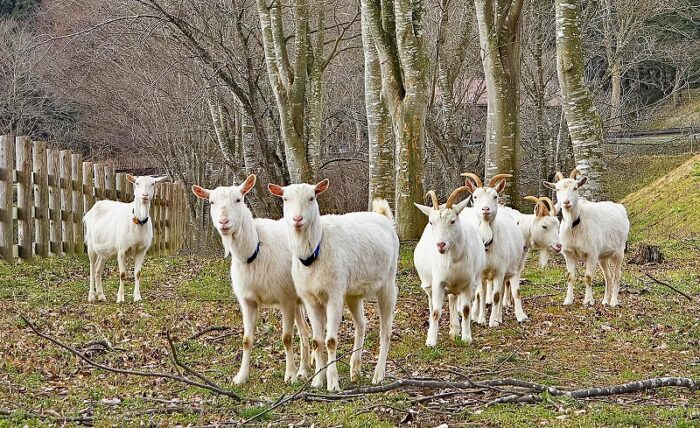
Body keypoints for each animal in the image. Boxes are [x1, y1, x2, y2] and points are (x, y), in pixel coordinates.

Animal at [191, 174, 312, 384]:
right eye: (212, 202)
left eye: (238, 199)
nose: (223, 222)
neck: (255, 249)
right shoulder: (247, 300)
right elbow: (246, 340)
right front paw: (241, 376)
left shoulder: (285, 299)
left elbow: (287, 337)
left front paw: (289, 374)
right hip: (298, 299)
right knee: (304, 330)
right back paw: (304, 370)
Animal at [268, 181, 400, 392]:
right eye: (285, 198)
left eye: (312, 197)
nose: (297, 219)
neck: (314, 253)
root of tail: (383, 217)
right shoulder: (310, 298)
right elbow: (317, 341)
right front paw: (317, 381)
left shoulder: (334, 295)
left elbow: (330, 341)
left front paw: (333, 383)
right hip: (353, 292)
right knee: (361, 323)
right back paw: (355, 370)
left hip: (388, 282)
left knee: (385, 330)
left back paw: (378, 375)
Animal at [412, 188, 484, 348]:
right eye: (431, 222)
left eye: (453, 221)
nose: (440, 245)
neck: (454, 259)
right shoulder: (438, 282)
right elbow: (436, 312)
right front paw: (431, 341)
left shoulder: (468, 284)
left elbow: (466, 310)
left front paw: (466, 337)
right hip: (429, 284)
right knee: (432, 303)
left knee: (452, 300)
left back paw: (454, 330)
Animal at [460, 172, 524, 326]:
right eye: (475, 196)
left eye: (495, 196)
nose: (485, 209)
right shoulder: (480, 274)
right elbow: (481, 295)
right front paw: (481, 319)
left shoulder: (500, 271)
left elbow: (495, 296)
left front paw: (493, 322)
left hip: (511, 269)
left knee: (506, 292)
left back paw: (507, 317)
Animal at [540, 169, 628, 306]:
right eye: (557, 189)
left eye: (575, 188)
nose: (566, 202)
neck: (574, 226)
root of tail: (621, 208)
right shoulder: (569, 253)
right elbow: (570, 276)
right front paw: (568, 300)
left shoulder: (591, 253)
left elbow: (588, 276)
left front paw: (587, 300)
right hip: (602, 257)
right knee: (608, 276)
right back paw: (605, 301)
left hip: (619, 252)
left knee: (617, 275)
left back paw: (613, 302)